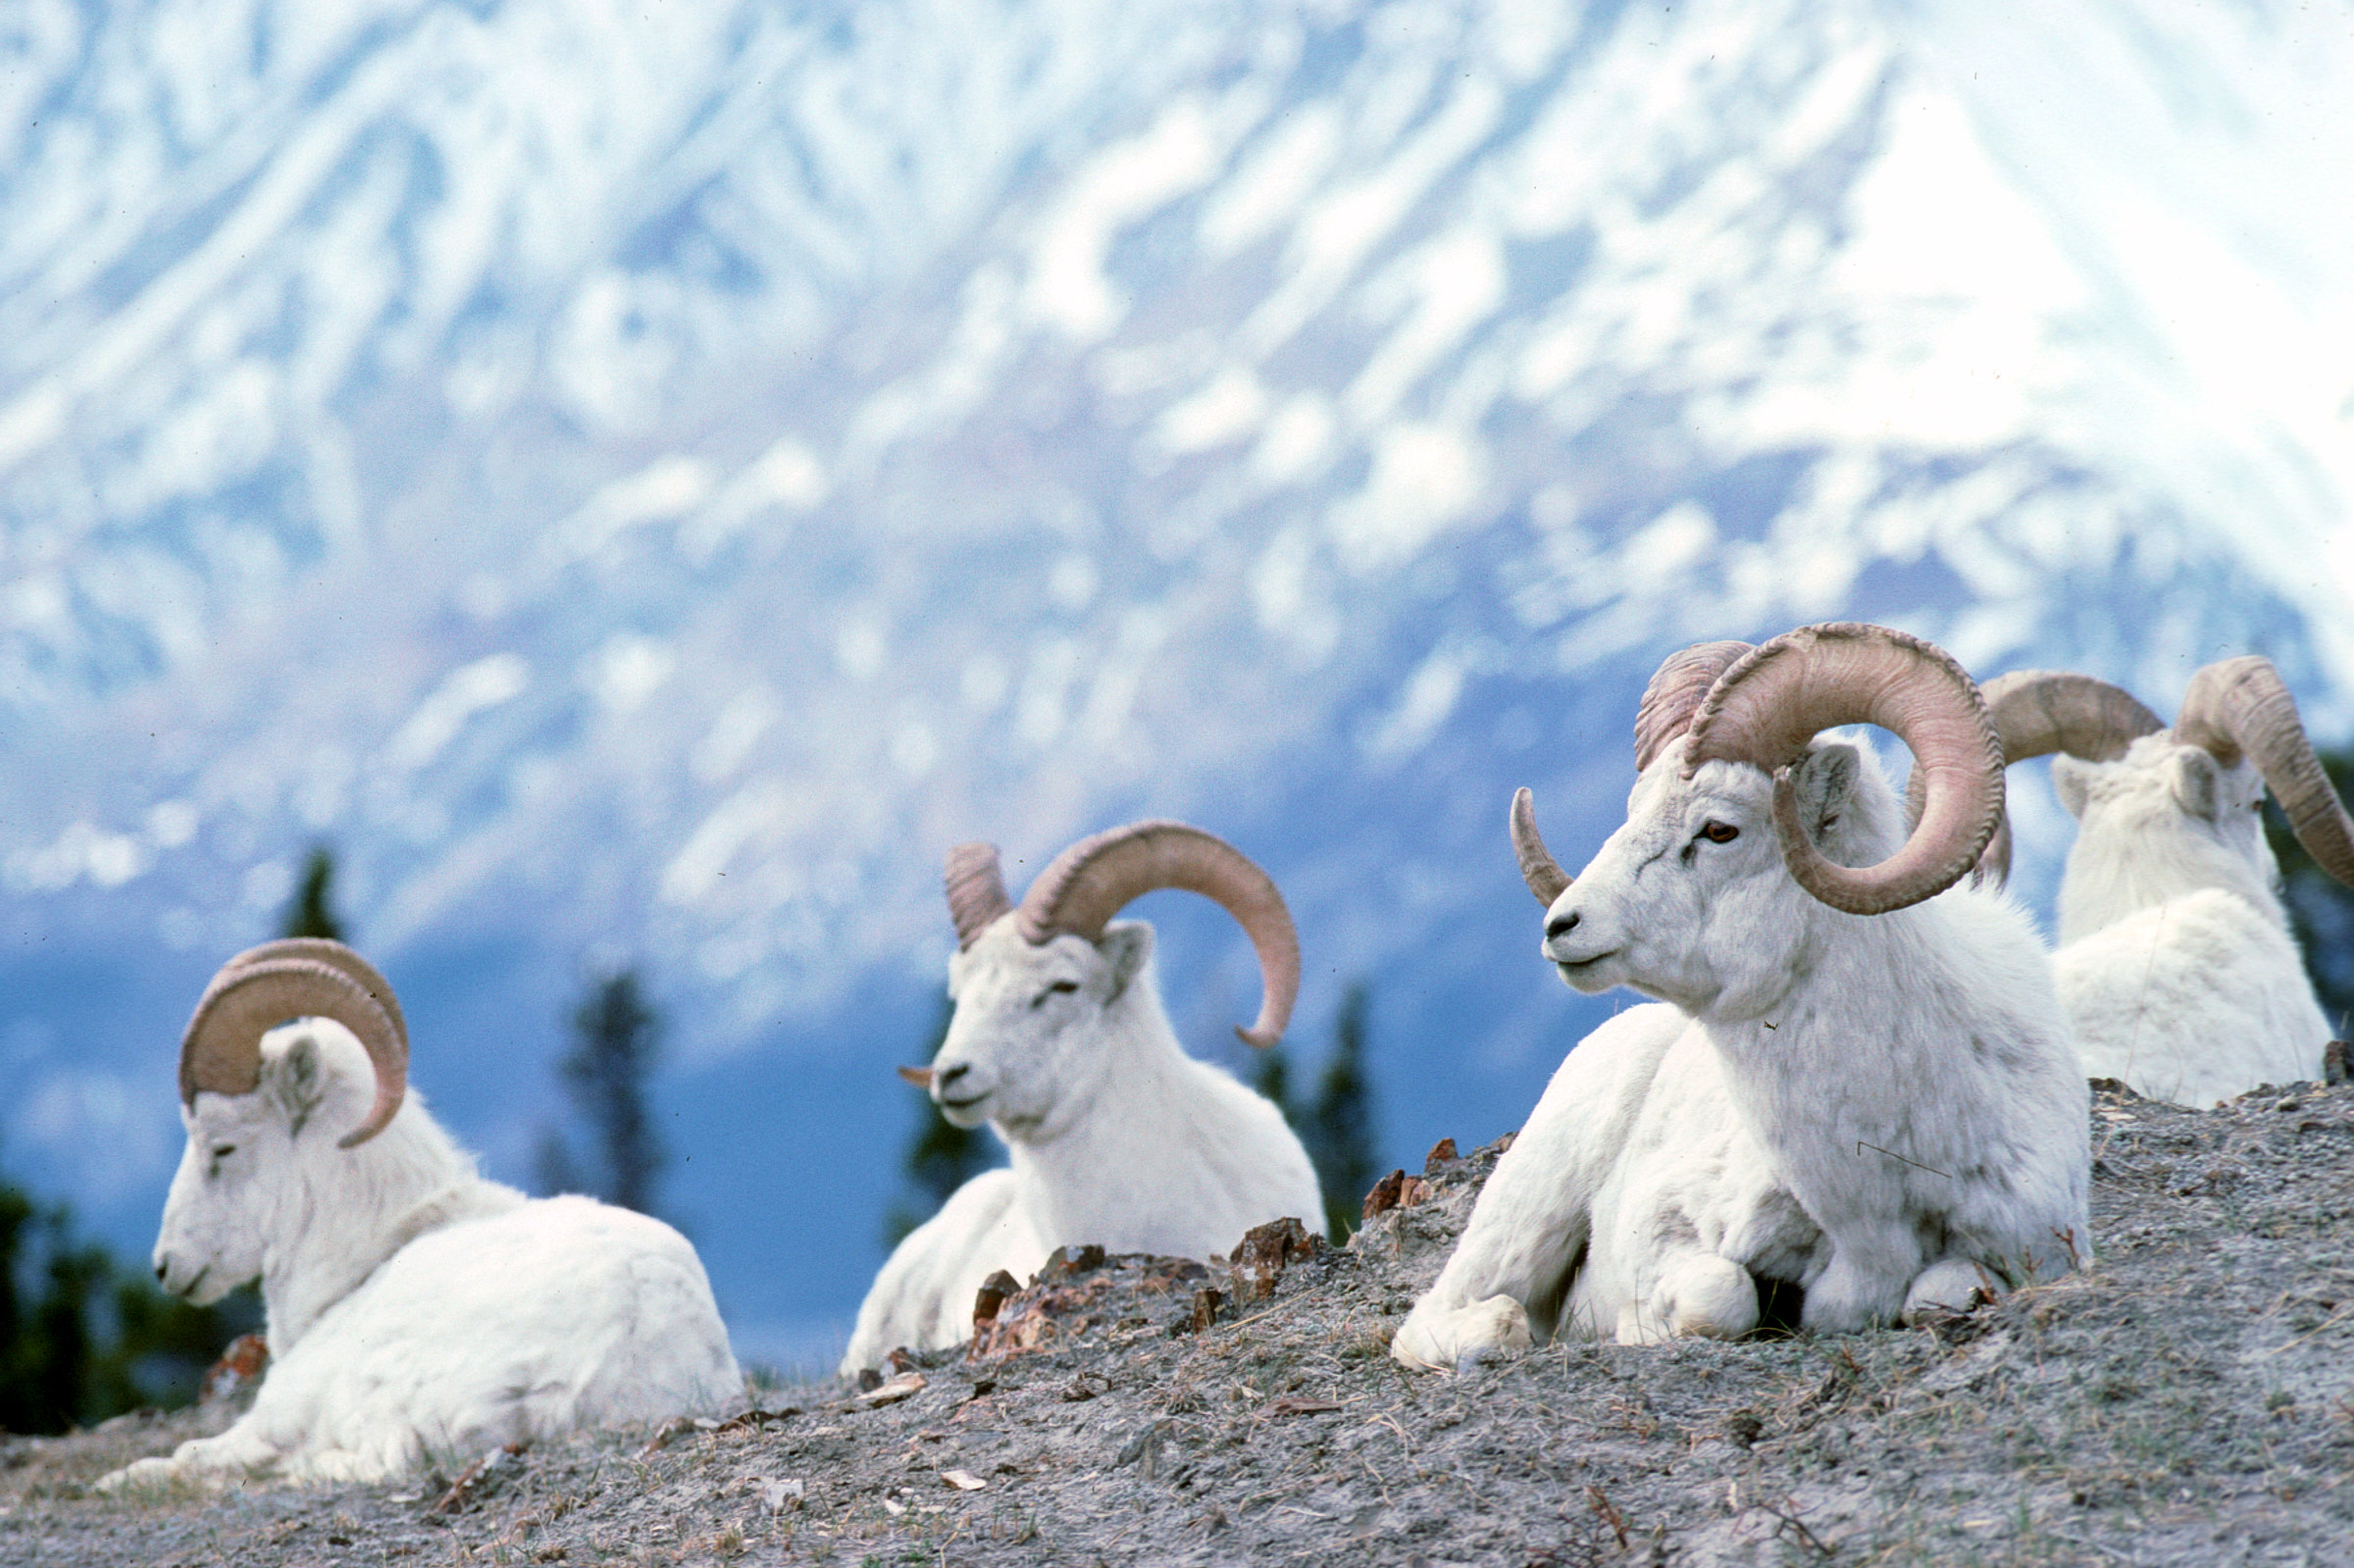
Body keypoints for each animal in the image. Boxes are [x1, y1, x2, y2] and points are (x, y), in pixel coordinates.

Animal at [100, 939, 741, 1488]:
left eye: (222, 1146)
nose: (167, 1266)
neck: (361, 1270)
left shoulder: (270, 1419)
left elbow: (182, 1456)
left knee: (382, 1459)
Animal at [1395, 624, 2090, 1369]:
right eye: (1634, 811)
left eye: (1719, 829)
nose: (1562, 926)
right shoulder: (1664, 1228)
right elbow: (1722, 1296)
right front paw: (1641, 1326)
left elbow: (1945, 1292)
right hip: (1528, 1214)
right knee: (1460, 1315)